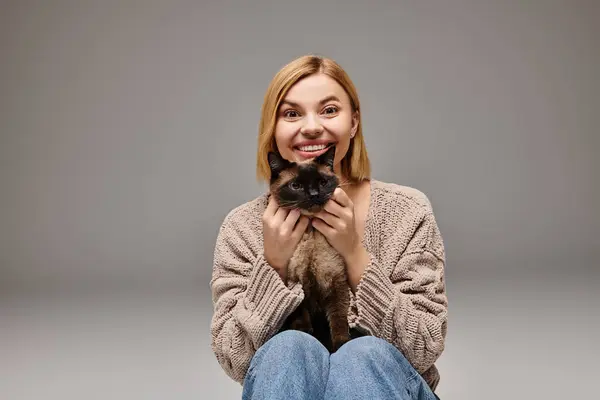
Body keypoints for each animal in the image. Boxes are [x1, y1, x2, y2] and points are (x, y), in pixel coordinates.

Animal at [268, 145, 352, 352]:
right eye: (296, 186)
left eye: (322, 182)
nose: (314, 194)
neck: (311, 233)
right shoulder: (295, 283)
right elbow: (300, 314)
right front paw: (304, 333)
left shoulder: (337, 284)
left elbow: (339, 320)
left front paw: (340, 345)